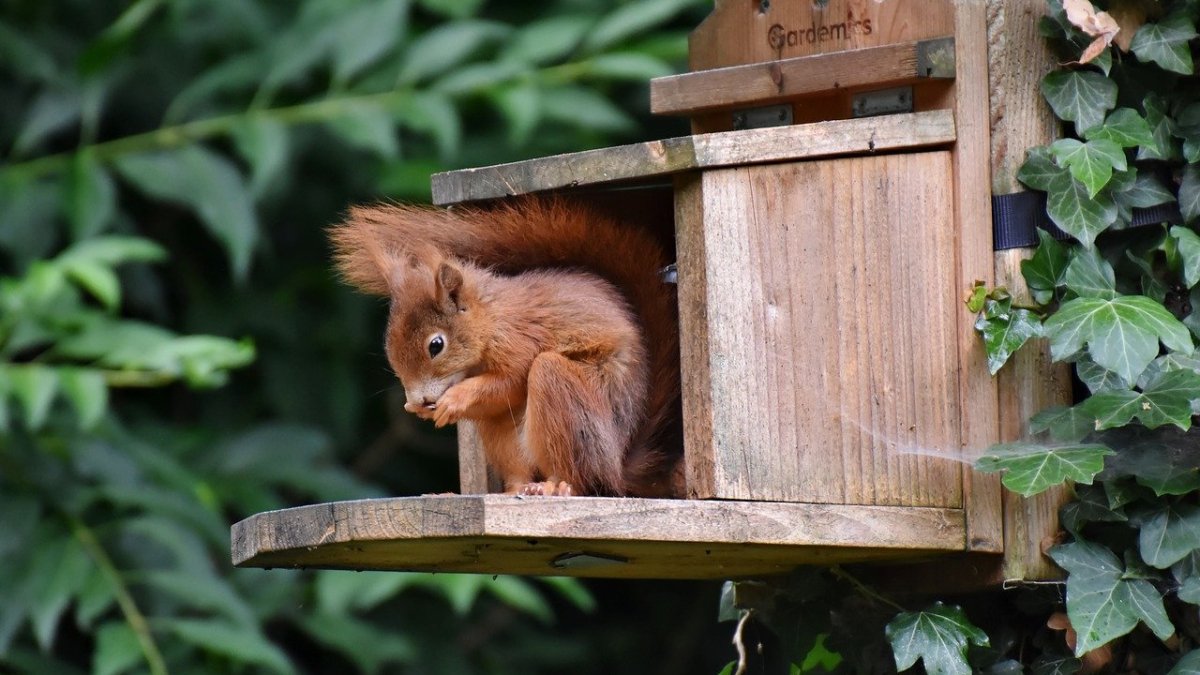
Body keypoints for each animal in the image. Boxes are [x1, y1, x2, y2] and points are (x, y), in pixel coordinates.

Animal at [329, 196, 682, 497]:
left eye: (436, 345)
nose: (419, 399)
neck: (490, 320)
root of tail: (618, 467)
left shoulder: (521, 340)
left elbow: (510, 382)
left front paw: (454, 399)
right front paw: (418, 409)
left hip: (571, 401)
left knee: (578, 474)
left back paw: (556, 486)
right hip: (502, 433)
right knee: (516, 464)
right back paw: (515, 490)